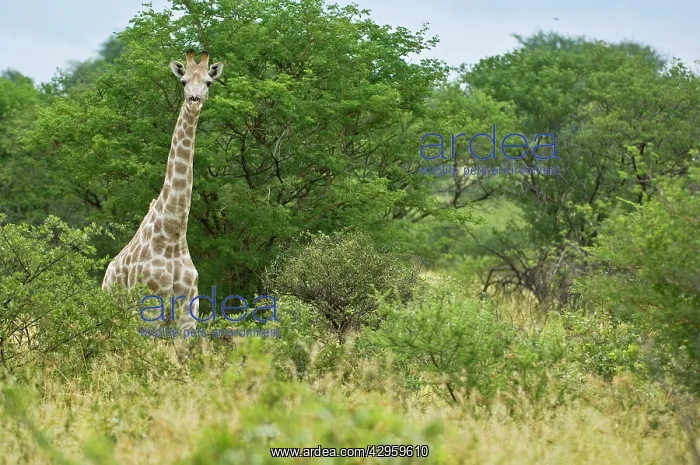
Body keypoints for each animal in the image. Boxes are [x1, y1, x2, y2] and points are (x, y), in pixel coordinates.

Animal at [102, 50, 224, 330]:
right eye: (183, 81)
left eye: (209, 82)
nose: (194, 100)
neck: (173, 235)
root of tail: (104, 280)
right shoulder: (150, 308)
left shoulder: (187, 312)